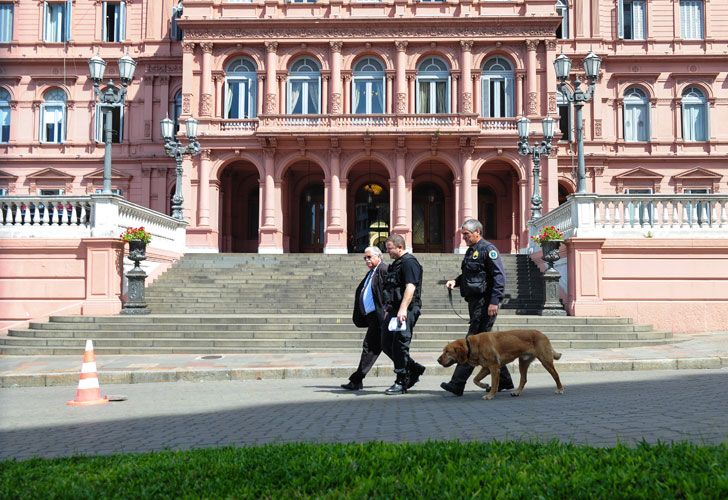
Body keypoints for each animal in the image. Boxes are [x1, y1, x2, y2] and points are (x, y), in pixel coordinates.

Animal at [436, 330, 564, 400]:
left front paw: (490, 395)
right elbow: (475, 379)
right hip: (523, 362)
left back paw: (560, 389)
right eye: (444, 351)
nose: (438, 360)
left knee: (556, 375)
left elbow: (494, 383)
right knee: (523, 379)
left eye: (447, 352)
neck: (471, 345)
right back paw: (517, 392)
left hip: (545, 360)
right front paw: (484, 385)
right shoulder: (486, 368)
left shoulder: (494, 368)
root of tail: (543, 334)